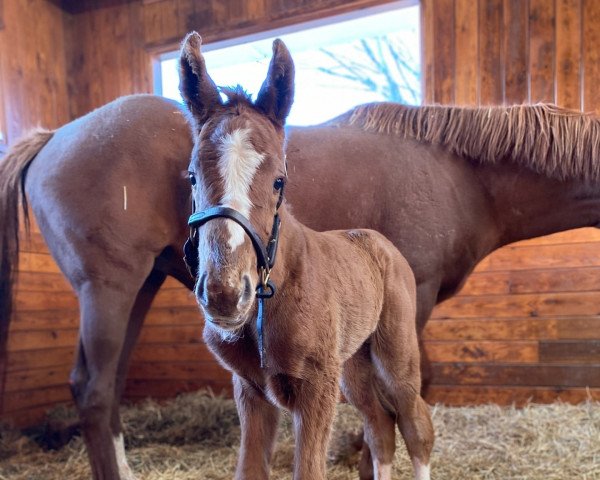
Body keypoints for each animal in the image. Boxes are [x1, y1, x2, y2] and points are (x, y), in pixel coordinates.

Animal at [1, 92, 600, 478]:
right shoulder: (416, 302)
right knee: (93, 387)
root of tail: (54, 136)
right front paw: (362, 457)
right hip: (108, 287)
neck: (457, 173)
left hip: (138, 288)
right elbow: (399, 399)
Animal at [177, 31, 432, 478]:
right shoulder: (251, 390)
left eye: (279, 181)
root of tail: (380, 242)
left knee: (413, 421)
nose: (226, 294)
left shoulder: (315, 389)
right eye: (192, 176)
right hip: (353, 363)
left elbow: (310, 469)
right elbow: (250, 469)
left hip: (393, 351)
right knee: (380, 426)